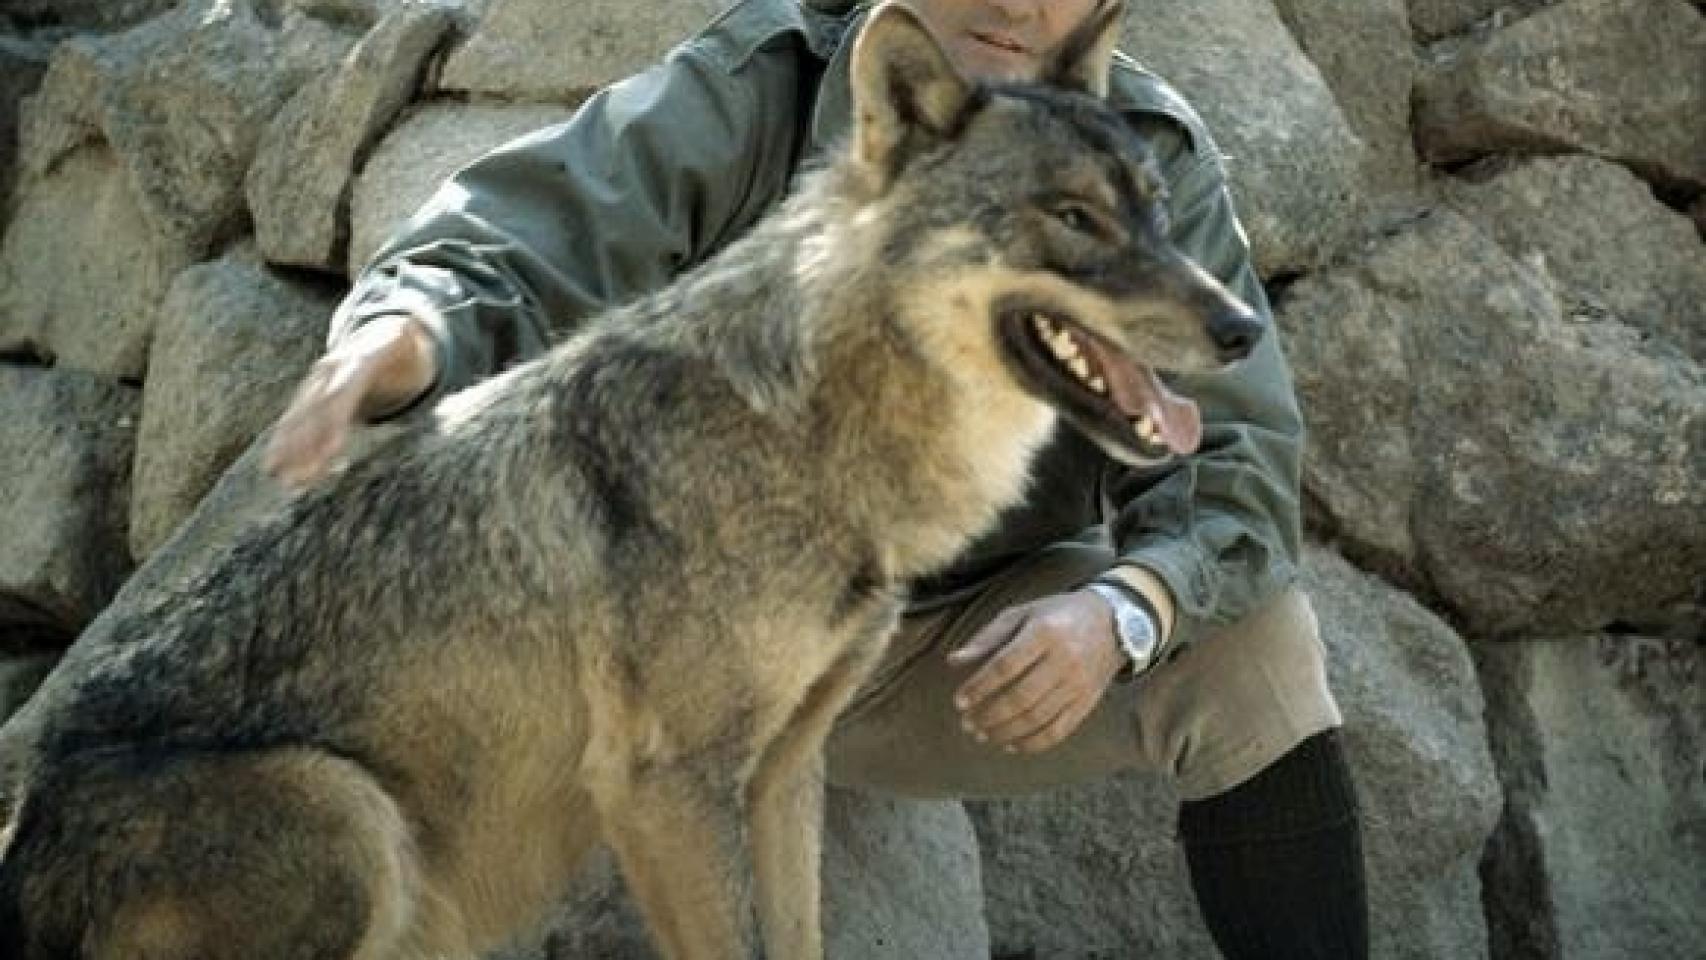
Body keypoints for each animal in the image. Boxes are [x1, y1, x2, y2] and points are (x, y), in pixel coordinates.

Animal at [3, 3, 1269, 954]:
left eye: (1158, 211)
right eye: (1071, 218)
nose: (1245, 326)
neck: (805, 432)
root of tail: (24, 845)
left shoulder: (782, 773)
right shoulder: (665, 791)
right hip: (354, 820)